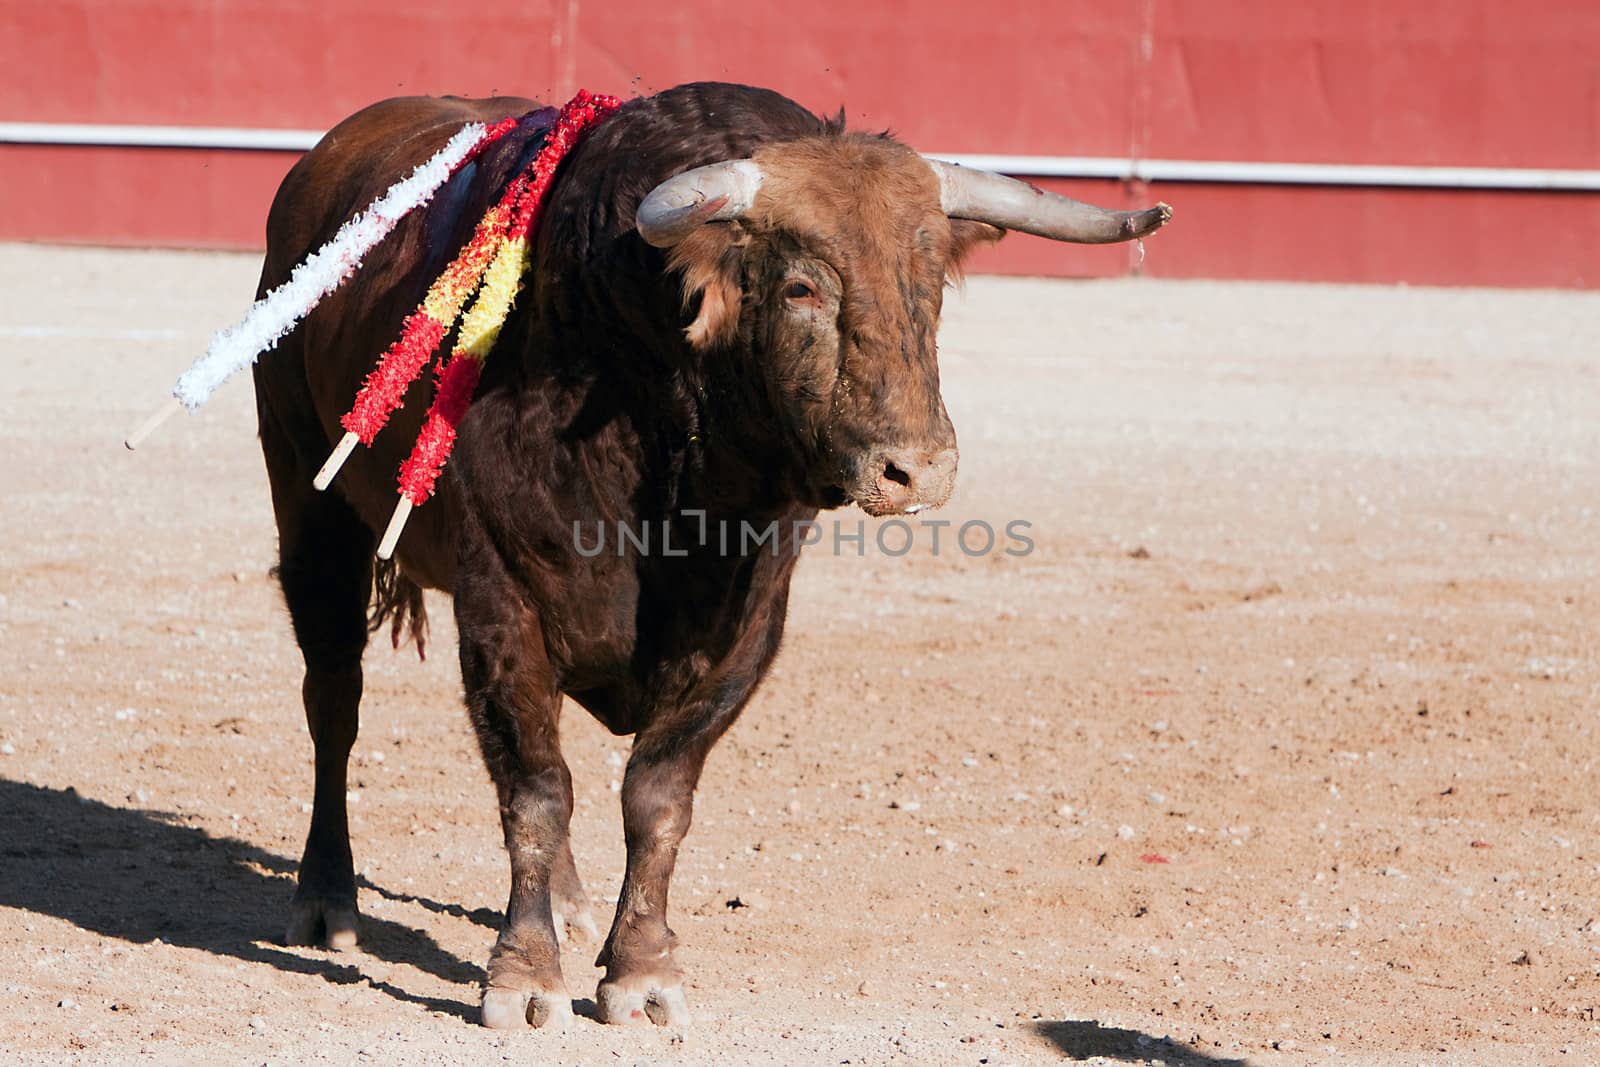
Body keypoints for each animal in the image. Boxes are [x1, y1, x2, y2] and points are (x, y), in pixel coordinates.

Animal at [249, 79, 1164, 1030]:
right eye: (800, 287)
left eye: (929, 287)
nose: (917, 469)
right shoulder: (503, 603)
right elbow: (535, 788)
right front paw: (525, 978)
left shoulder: (749, 624)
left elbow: (656, 795)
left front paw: (641, 970)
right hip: (308, 507)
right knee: (335, 702)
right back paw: (327, 901)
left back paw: (572, 908)